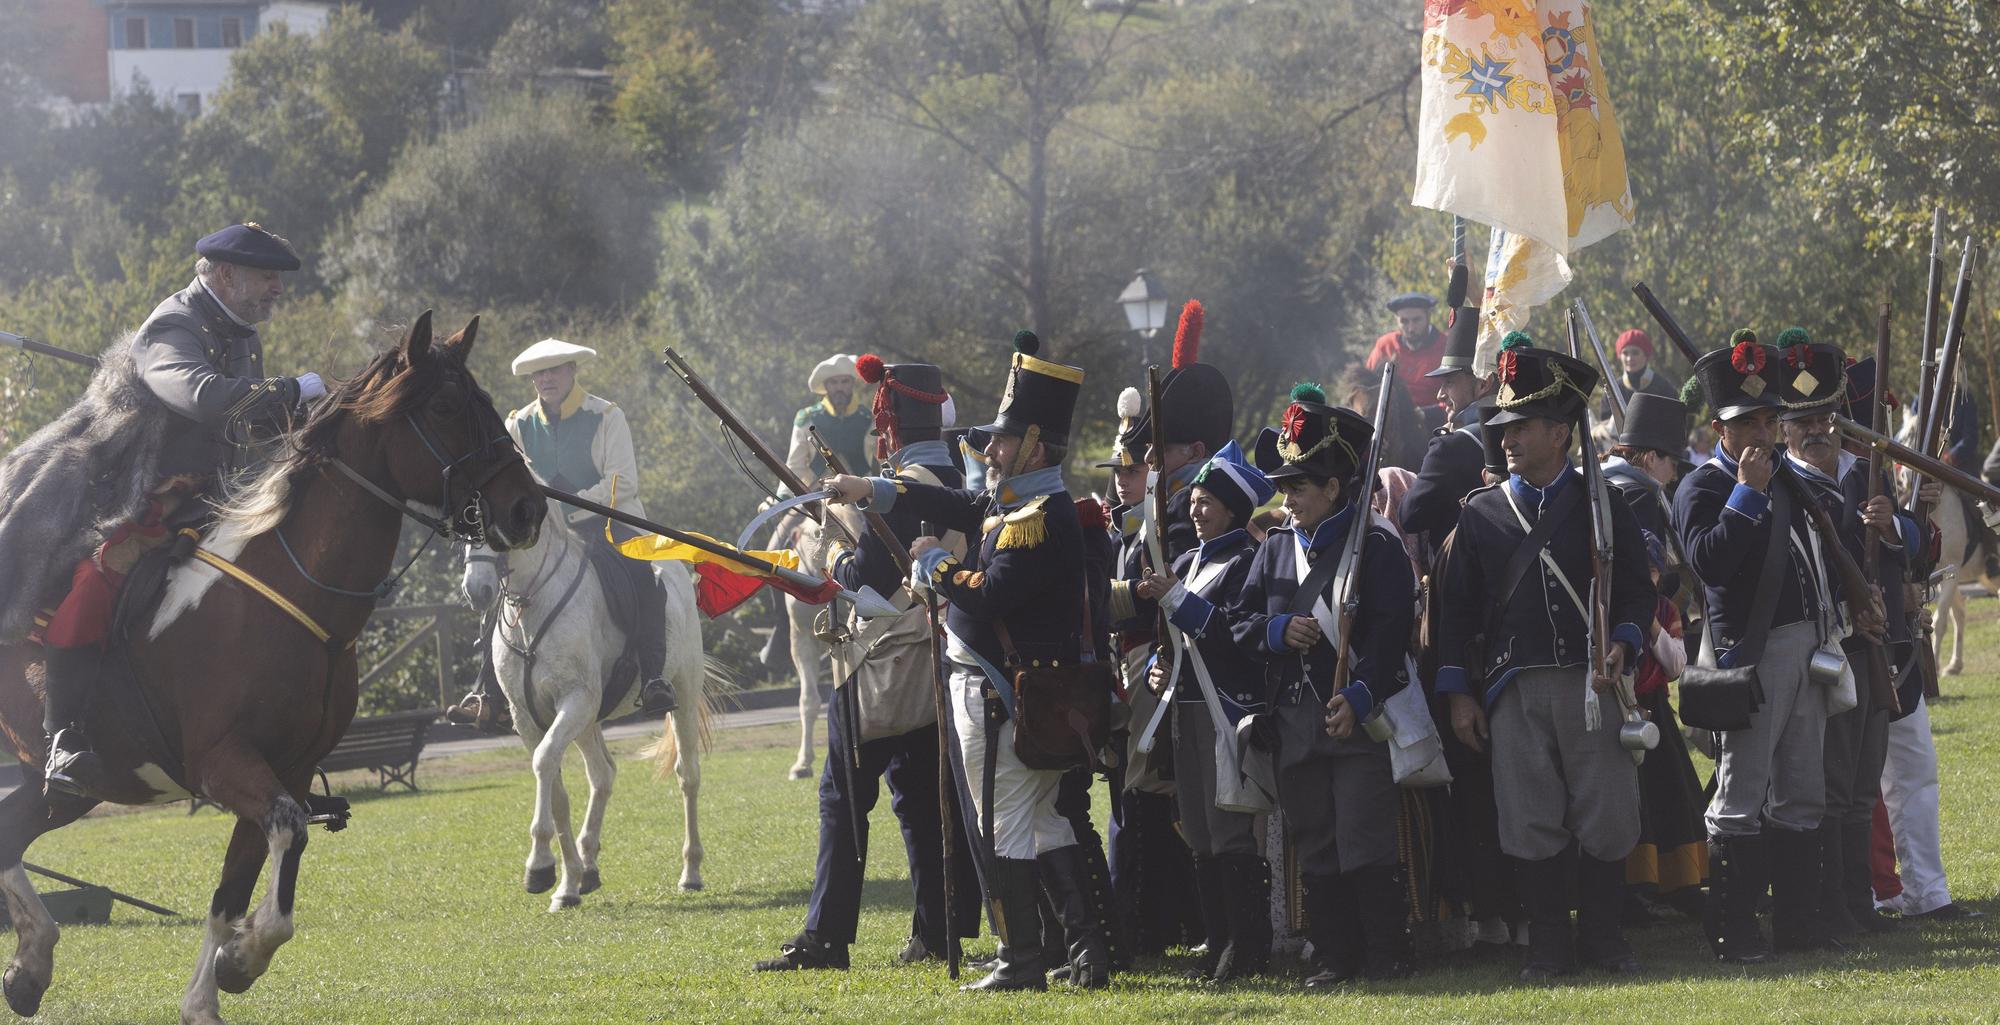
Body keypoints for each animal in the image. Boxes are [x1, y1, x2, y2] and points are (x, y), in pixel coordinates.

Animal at [0, 312, 548, 1025]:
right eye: (447, 406)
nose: (528, 508)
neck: (290, 597)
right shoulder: (226, 765)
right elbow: (287, 838)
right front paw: (242, 959)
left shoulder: (282, 771)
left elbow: (235, 890)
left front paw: (217, 983)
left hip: (77, 786)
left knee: (9, 835)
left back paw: (31, 962)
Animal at [464, 508, 716, 908]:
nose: (477, 591)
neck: (533, 603)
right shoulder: (527, 717)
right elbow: (556, 790)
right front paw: (565, 883)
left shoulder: (576, 700)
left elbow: (545, 763)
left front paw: (539, 865)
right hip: (586, 723)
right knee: (603, 773)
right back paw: (587, 868)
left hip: (684, 694)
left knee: (687, 776)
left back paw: (690, 872)